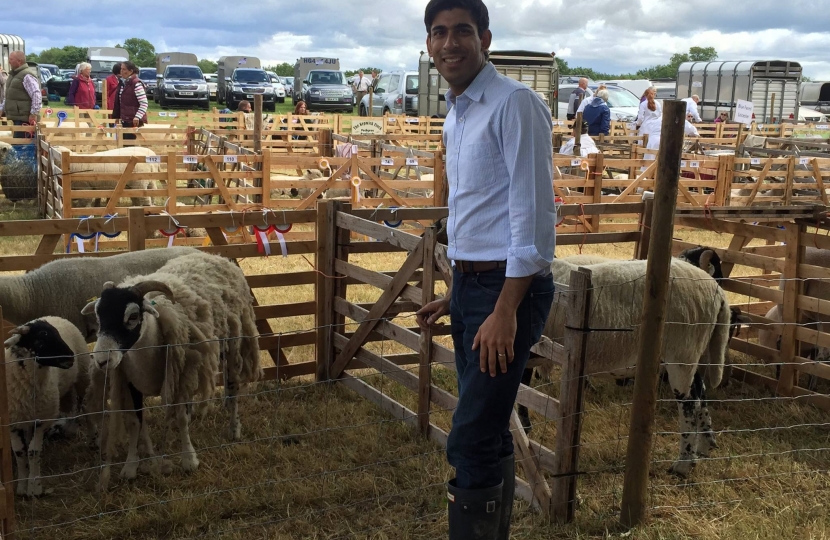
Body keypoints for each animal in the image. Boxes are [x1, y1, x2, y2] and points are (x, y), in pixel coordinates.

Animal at [3, 316, 91, 498]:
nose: (70, 357)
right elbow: (20, 452)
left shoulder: (42, 420)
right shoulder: (13, 422)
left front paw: (34, 487)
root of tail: (56, 317)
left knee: (86, 409)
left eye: (57, 334)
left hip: (83, 377)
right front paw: (22, 486)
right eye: (41, 338)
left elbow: (33, 451)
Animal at [544, 258, 736, 476]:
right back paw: (705, 445)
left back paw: (684, 464)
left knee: (689, 405)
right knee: (701, 393)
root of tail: (718, 292)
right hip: (692, 354)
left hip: (682, 352)